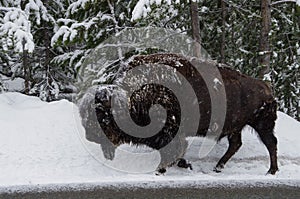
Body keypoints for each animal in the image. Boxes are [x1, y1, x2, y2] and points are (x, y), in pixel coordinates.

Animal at [81, 52, 278, 174]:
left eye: (103, 117)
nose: (90, 136)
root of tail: (265, 86)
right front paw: (185, 165)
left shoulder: (168, 134)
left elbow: (171, 152)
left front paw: (160, 171)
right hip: (236, 127)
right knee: (236, 144)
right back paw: (218, 167)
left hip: (262, 124)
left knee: (270, 143)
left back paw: (271, 171)